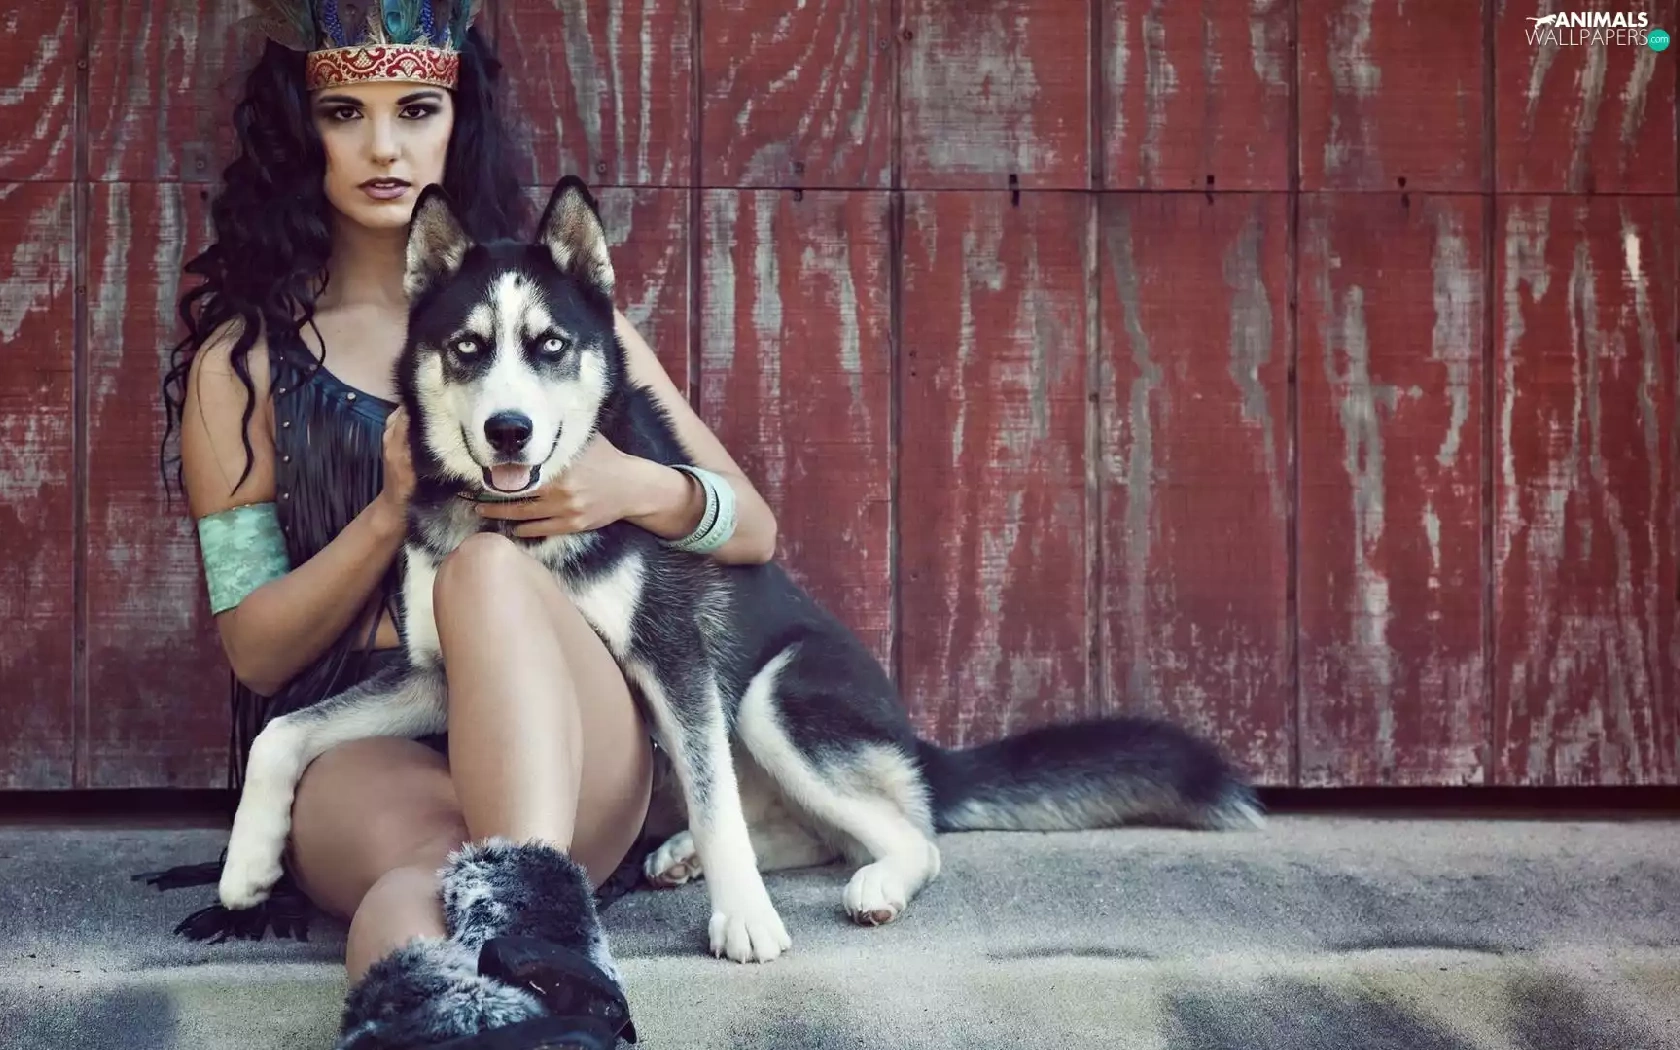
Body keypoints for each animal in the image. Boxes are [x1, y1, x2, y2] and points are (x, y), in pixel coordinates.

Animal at [215, 175, 1264, 964]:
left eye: (550, 346)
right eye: (468, 348)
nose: (509, 429)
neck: (513, 532)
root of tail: (917, 742)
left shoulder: (675, 658)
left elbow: (719, 798)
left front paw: (744, 919)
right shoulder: (435, 676)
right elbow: (281, 733)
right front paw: (247, 865)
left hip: (773, 695)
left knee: (907, 834)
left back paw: (868, 880)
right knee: (809, 825)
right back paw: (684, 854)